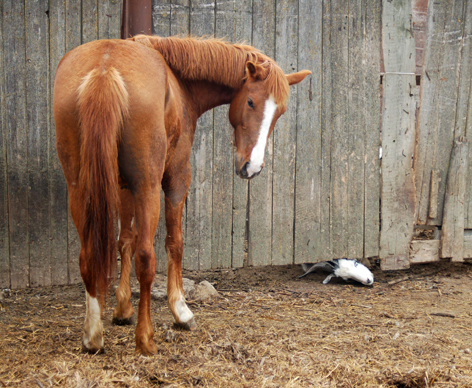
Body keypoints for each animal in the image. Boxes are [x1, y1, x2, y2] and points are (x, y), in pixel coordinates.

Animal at [53, 34, 312, 354]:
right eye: (251, 101)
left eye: (280, 111)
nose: (251, 167)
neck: (178, 80)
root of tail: (104, 69)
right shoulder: (176, 178)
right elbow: (173, 243)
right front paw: (180, 310)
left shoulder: (124, 186)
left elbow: (124, 240)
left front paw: (122, 309)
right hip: (149, 187)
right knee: (146, 257)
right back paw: (145, 338)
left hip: (80, 188)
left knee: (88, 255)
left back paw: (92, 334)